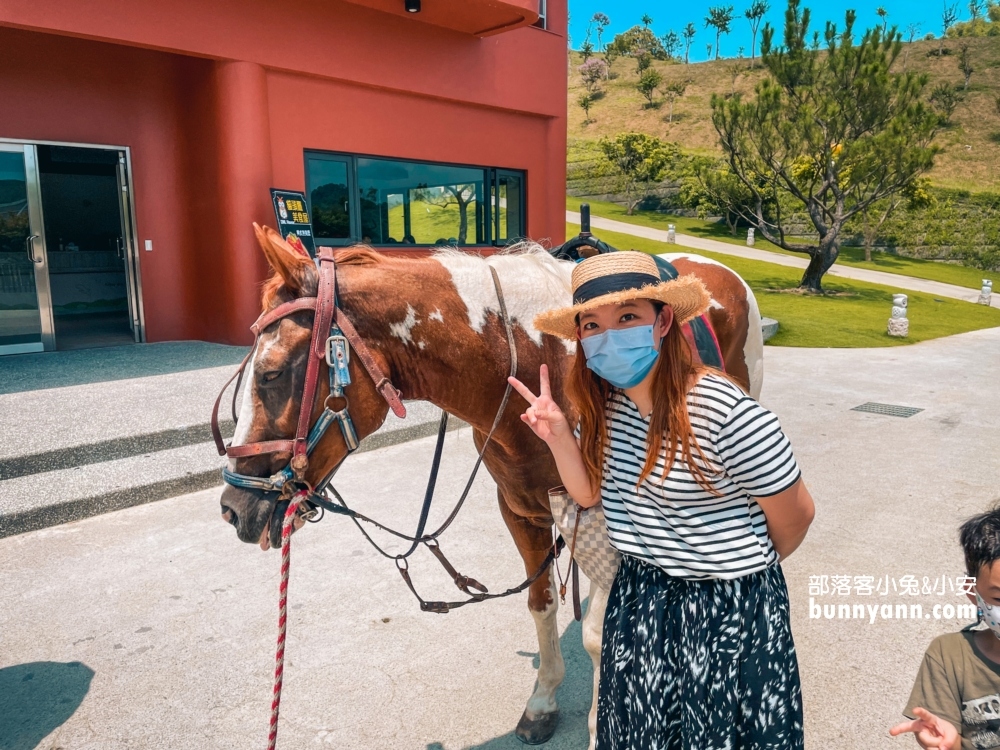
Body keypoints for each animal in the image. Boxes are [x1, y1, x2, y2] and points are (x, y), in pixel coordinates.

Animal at [219, 226, 760, 748]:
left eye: (271, 374)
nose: (233, 508)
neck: (536, 359)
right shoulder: (519, 510)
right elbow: (542, 604)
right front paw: (542, 701)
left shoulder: (609, 527)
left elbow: (598, 634)